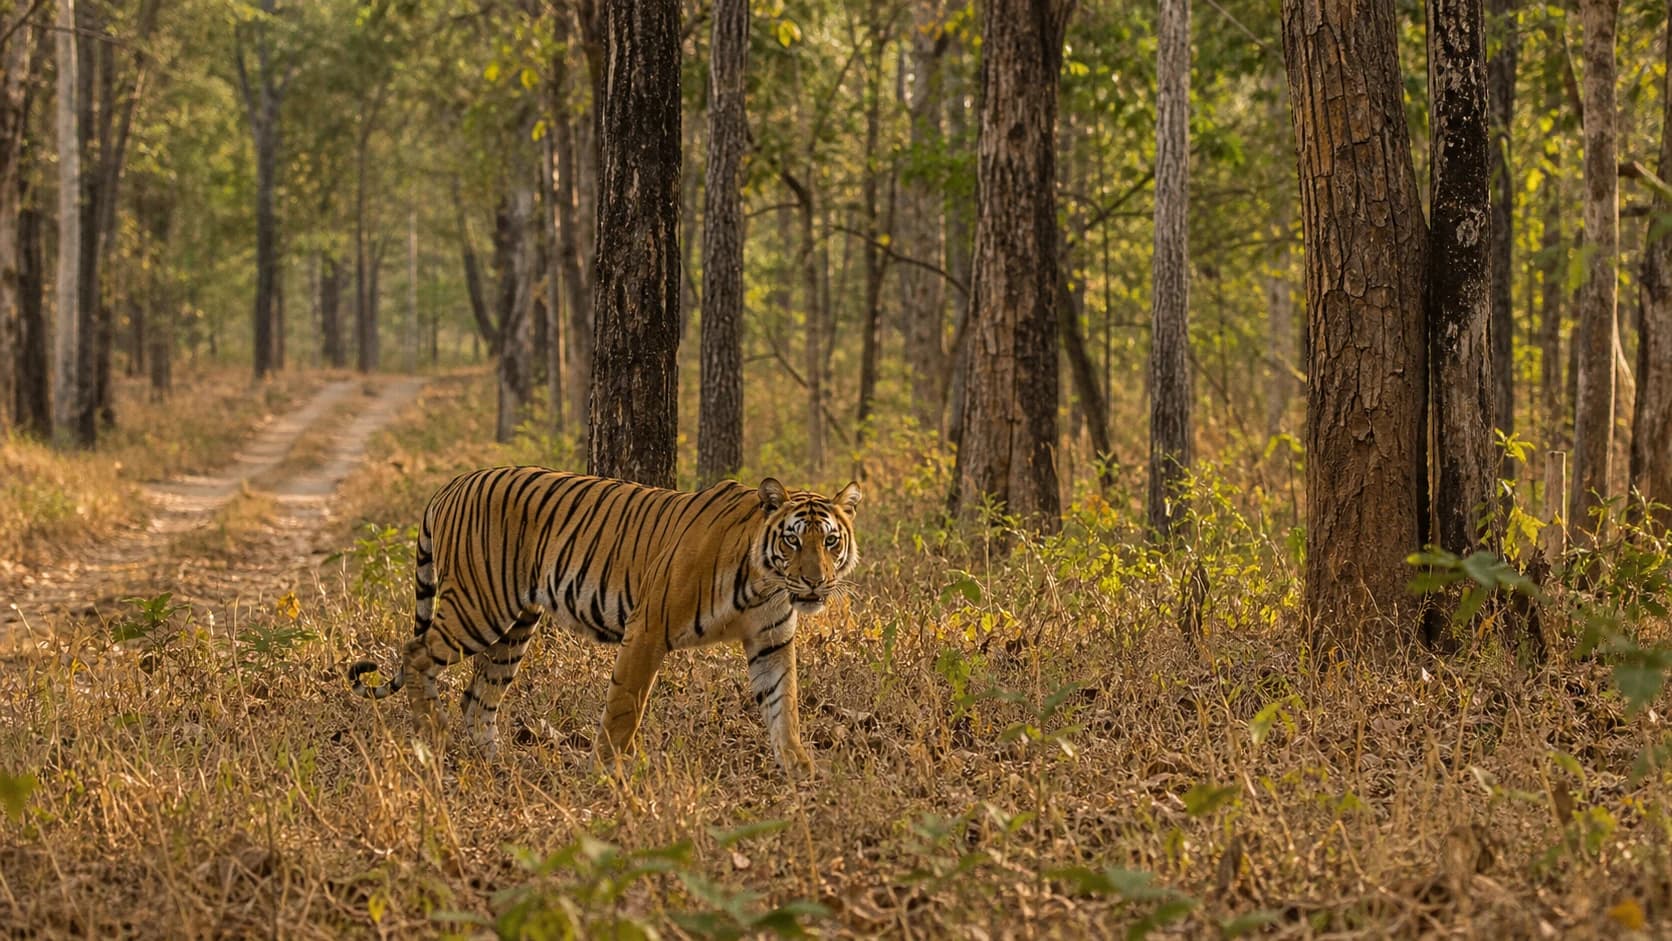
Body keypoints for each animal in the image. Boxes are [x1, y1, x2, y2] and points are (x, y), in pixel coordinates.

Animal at [345, 466, 862, 776]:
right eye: (793, 540)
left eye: (830, 541)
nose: (815, 582)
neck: (765, 581)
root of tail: (450, 484)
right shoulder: (648, 629)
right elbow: (624, 707)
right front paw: (605, 771)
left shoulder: (771, 640)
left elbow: (784, 704)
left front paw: (799, 767)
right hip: (478, 606)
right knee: (416, 654)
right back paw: (431, 735)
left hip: (515, 625)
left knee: (477, 697)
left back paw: (498, 764)